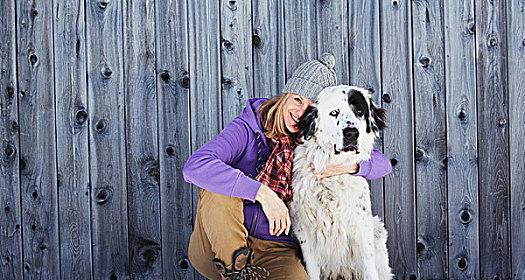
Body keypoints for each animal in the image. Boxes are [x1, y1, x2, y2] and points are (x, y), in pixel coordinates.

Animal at [288, 85, 390, 280]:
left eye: (359, 112)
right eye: (334, 112)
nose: (351, 132)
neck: (333, 178)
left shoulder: (362, 227)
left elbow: (369, 266)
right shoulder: (305, 230)